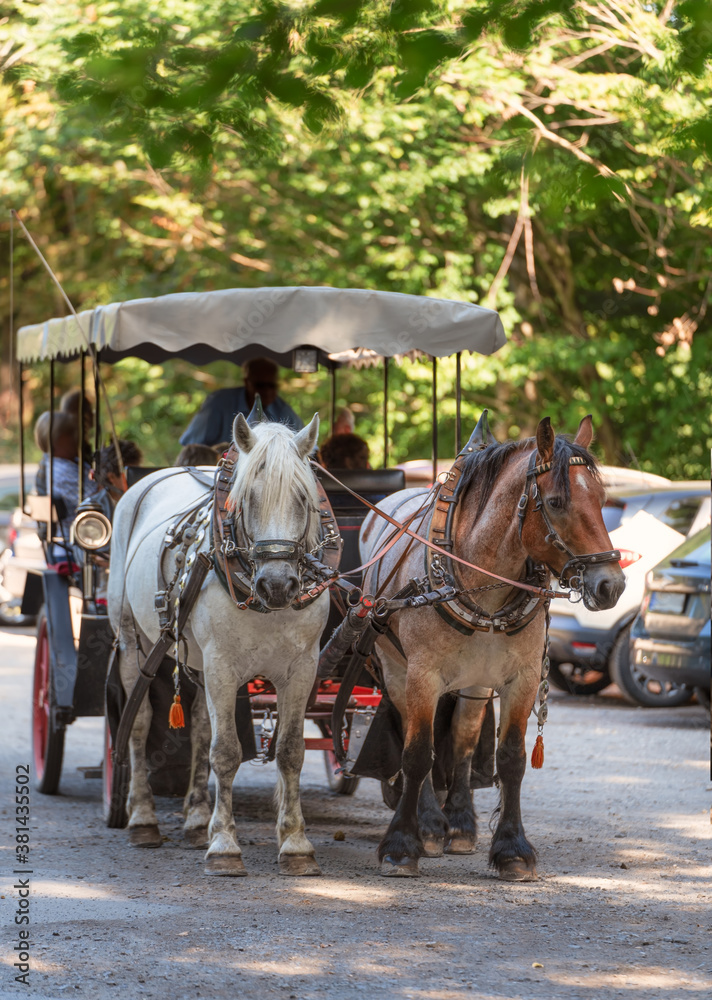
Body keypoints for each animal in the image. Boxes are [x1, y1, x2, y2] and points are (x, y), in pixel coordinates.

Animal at [107, 414, 330, 876]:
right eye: (246, 499)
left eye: (304, 497)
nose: (277, 584)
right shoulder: (223, 665)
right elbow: (226, 752)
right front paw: (225, 845)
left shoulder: (302, 668)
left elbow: (291, 751)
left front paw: (296, 844)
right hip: (134, 643)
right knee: (138, 725)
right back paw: (143, 819)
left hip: (197, 660)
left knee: (197, 725)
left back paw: (195, 820)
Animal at [362, 414, 624, 884]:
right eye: (556, 501)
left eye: (601, 498)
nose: (611, 585)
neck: (479, 581)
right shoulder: (422, 675)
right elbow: (416, 755)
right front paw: (402, 845)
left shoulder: (522, 677)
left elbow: (511, 759)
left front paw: (512, 850)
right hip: (396, 671)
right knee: (417, 740)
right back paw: (430, 825)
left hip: (475, 681)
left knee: (463, 741)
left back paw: (459, 825)